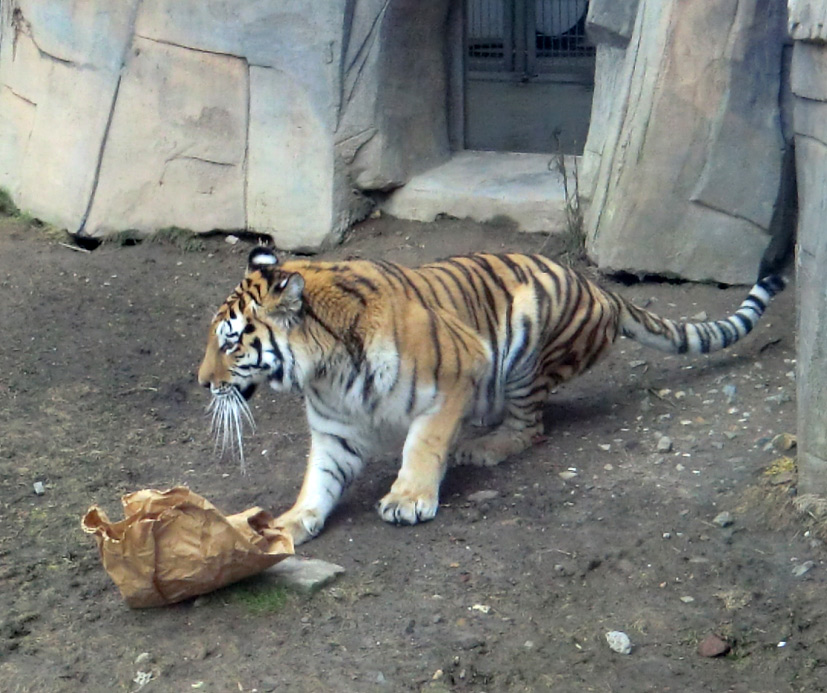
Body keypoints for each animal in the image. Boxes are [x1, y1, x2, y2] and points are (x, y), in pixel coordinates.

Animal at [197, 246, 784, 544]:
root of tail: (600, 288)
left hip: (525, 349)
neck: (326, 372)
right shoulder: (336, 427)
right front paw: (289, 524)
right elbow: (319, 479)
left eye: (230, 341)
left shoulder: (458, 370)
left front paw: (409, 498)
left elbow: (423, 444)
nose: (202, 381)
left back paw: (479, 446)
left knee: (529, 429)